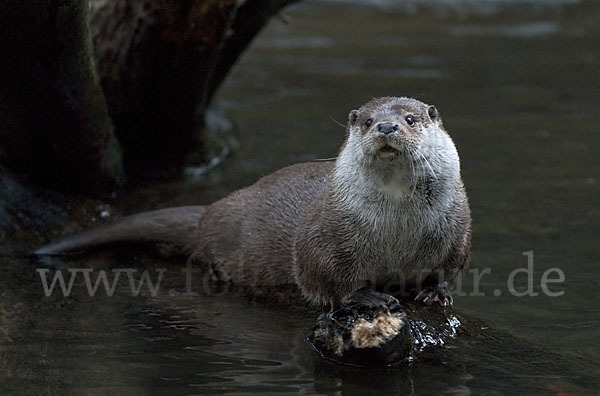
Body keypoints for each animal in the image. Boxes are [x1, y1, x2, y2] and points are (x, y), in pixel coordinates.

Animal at [35, 97, 472, 308]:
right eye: (366, 121)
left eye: (411, 119)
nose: (385, 125)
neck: (398, 228)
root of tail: (210, 215)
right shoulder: (326, 230)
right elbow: (324, 273)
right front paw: (366, 295)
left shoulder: (457, 227)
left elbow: (450, 266)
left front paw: (435, 290)